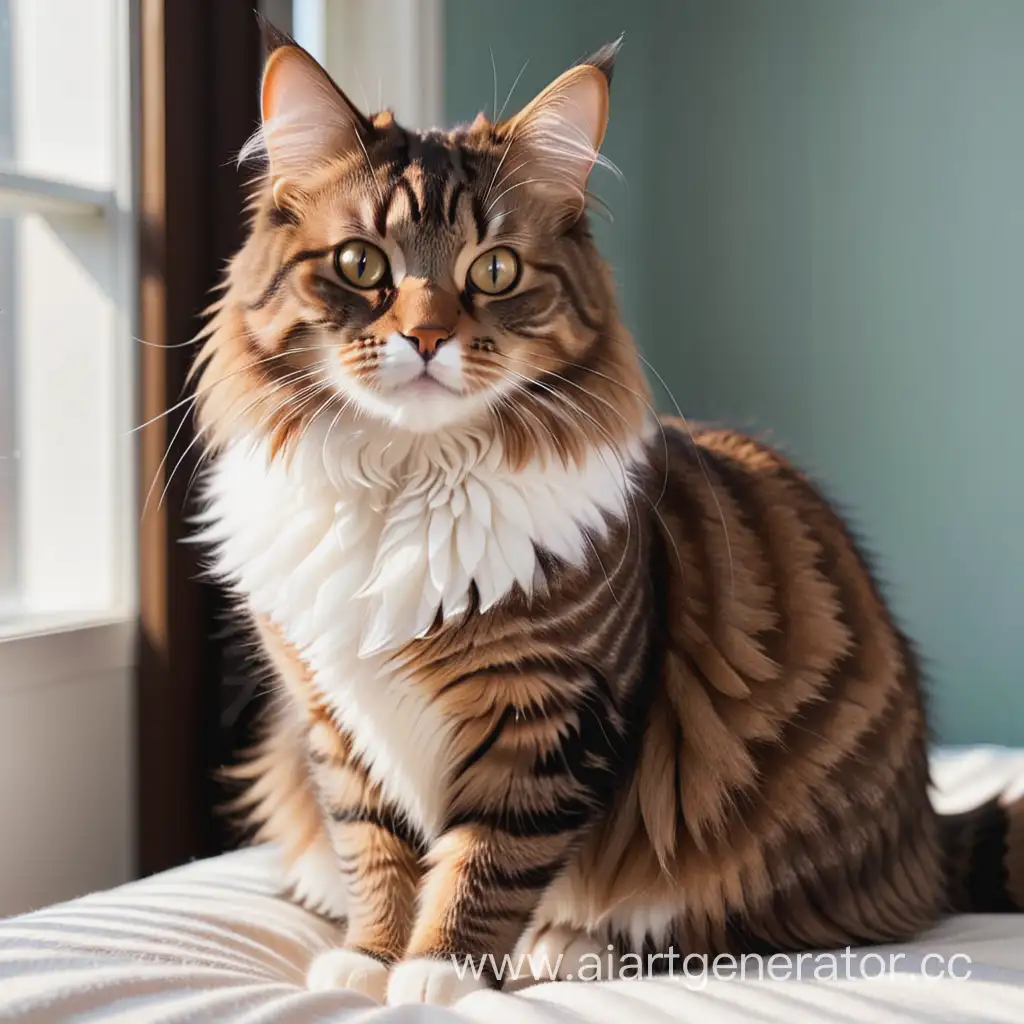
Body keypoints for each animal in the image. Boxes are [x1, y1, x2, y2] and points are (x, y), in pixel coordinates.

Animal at [193, 29, 1024, 1007]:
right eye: (362, 265)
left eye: (494, 271)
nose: (427, 338)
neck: (406, 480)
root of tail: (926, 828)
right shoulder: (338, 721)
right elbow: (375, 850)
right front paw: (368, 958)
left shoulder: (548, 717)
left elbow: (485, 862)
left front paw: (439, 972)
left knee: (703, 921)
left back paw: (567, 945)